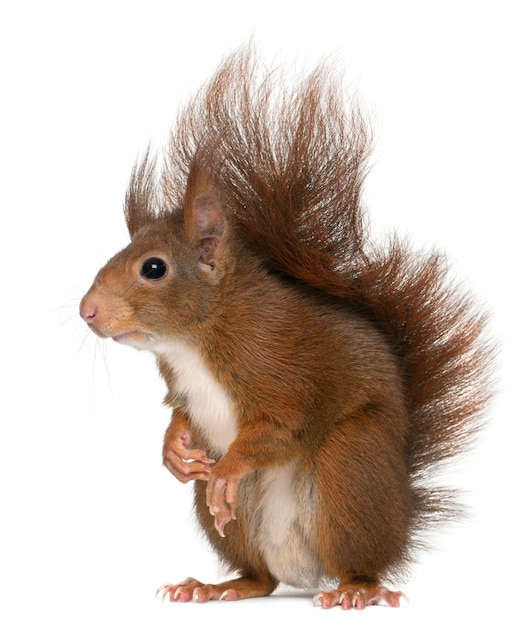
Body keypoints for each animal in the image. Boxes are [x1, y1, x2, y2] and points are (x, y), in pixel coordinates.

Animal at [79, 46, 496, 608]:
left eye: (153, 268)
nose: (87, 311)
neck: (198, 337)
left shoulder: (277, 365)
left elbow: (282, 425)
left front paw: (227, 469)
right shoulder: (181, 385)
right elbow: (180, 416)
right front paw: (173, 452)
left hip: (349, 467)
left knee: (359, 559)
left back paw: (356, 590)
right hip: (239, 530)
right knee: (260, 577)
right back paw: (215, 585)